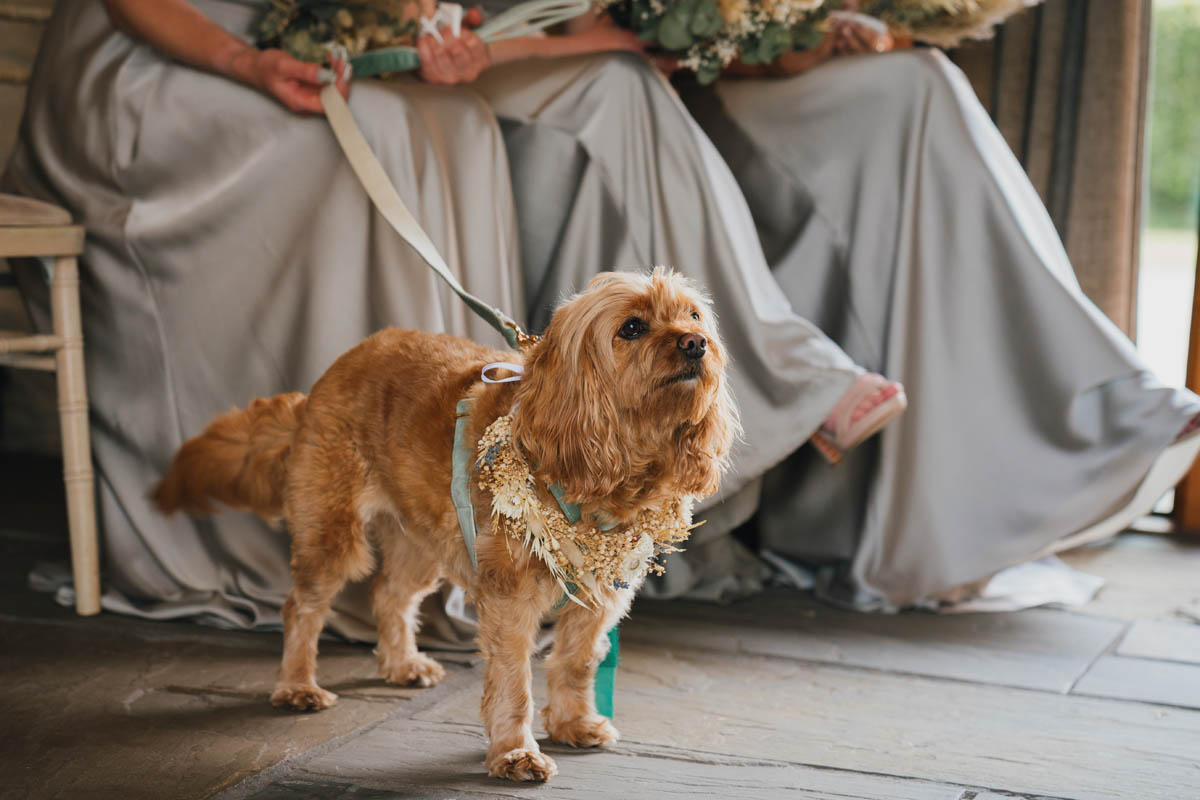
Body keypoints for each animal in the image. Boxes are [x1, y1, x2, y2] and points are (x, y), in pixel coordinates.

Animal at [154, 268, 734, 782]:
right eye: (632, 327)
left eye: (692, 314)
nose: (697, 343)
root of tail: (324, 381)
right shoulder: (509, 600)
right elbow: (514, 682)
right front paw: (515, 753)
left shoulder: (600, 596)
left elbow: (574, 663)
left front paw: (573, 723)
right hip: (331, 535)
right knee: (303, 607)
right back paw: (297, 686)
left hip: (419, 542)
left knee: (388, 595)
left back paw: (402, 664)